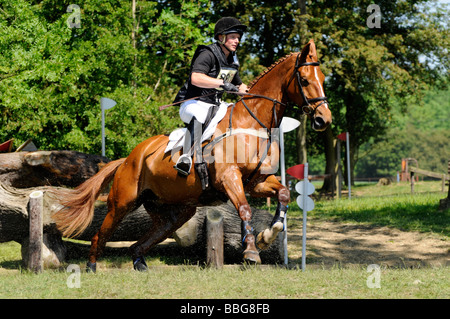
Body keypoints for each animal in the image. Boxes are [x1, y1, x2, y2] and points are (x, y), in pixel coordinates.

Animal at [53, 40, 334, 272]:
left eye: (322, 78)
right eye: (305, 80)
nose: (324, 119)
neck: (251, 124)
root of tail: (128, 159)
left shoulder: (256, 182)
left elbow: (284, 194)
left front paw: (268, 235)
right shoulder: (229, 179)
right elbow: (244, 210)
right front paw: (252, 252)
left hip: (175, 211)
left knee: (149, 236)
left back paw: (139, 262)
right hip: (123, 202)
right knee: (101, 232)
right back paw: (91, 266)